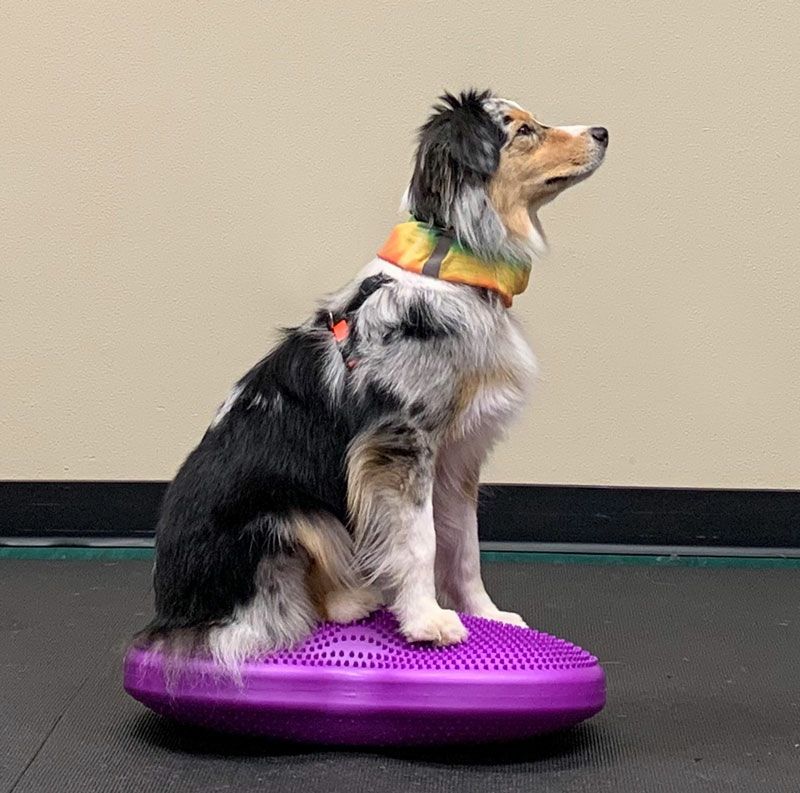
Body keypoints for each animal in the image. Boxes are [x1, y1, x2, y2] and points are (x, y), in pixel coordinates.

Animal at [140, 89, 607, 671]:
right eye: (523, 131)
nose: (604, 132)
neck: (453, 269)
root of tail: (169, 609)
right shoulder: (399, 446)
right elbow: (420, 541)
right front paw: (427, 621)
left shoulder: (458, 456)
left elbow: (465, 546)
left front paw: (488, 614)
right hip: (290, 516)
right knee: (275, 611)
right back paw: (351, 601)